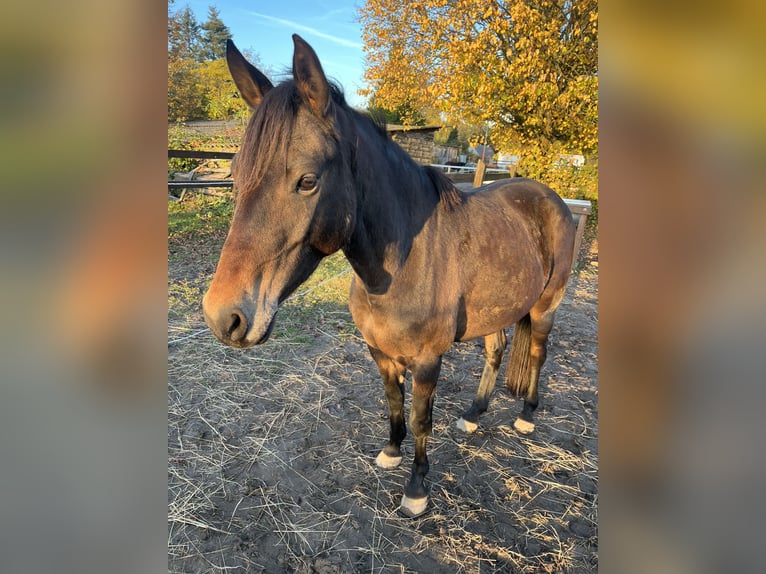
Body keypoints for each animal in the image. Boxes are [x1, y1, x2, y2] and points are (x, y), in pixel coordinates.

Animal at [204, 36, 576, 520]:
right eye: (235, 176)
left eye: (307, 181)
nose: (223, 317)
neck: (402, 265)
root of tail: (551, 197)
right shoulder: (379, 351)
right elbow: (392, 402)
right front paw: (391, 451)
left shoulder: (428, 360)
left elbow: (420, 418)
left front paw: (416, 489)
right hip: (496, 309)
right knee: (497, 350)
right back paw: (474, 414)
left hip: (545, 307)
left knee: (536, 352)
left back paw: (528, 416)